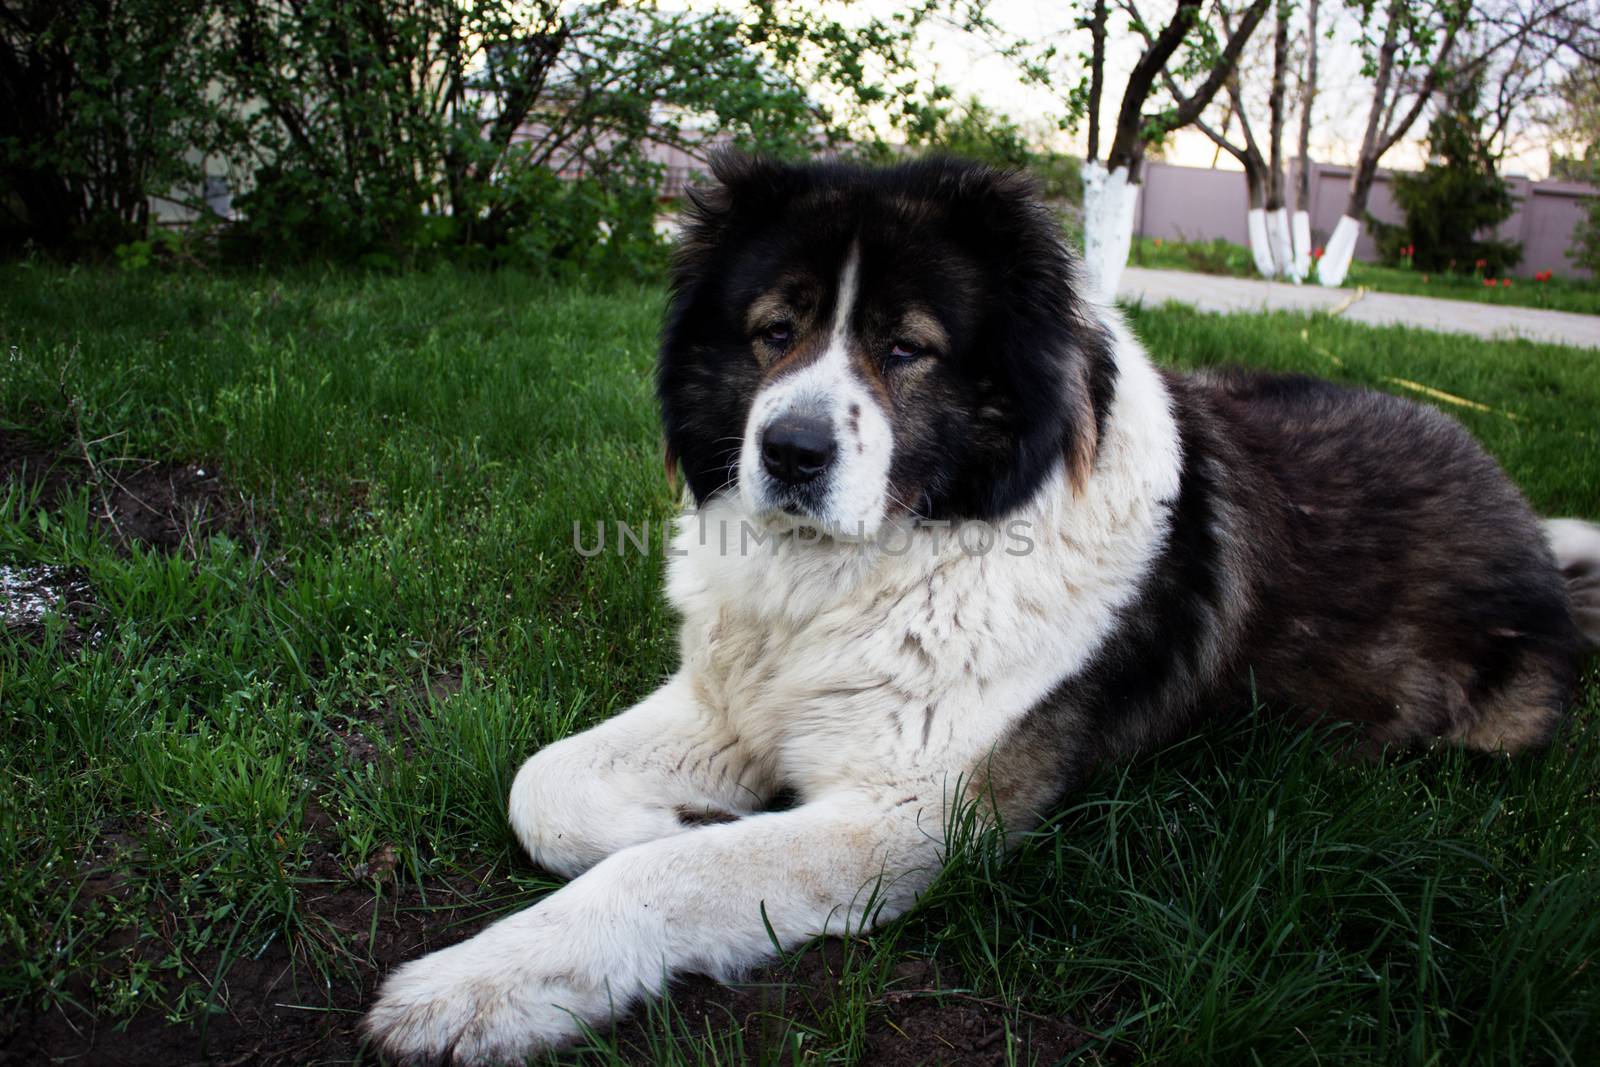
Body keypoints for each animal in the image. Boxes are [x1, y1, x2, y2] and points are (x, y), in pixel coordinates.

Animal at [363, 154, 1600, 1062]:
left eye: (906, 348)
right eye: (774, 331)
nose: (790, 450)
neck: (874, 565)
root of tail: (1529, 529)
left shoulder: (910, 816)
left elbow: (668, 873)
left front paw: (477, 984)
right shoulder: (727, 701)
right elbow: (541, 783)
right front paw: (673, 814)